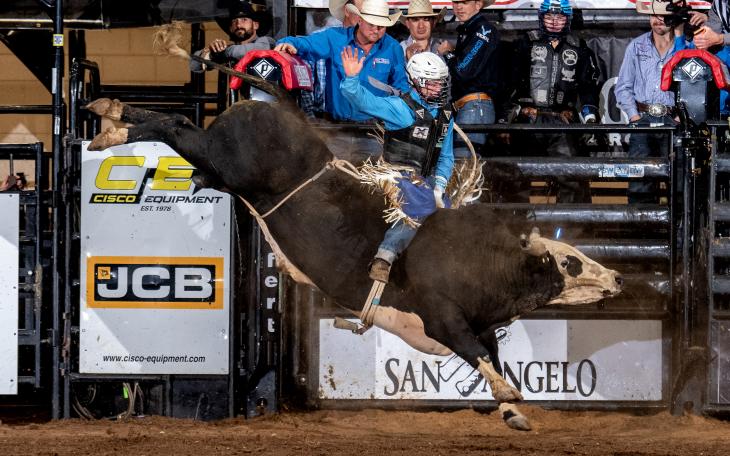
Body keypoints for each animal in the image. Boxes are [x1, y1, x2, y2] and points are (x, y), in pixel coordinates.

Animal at [84, 96, 622, 431]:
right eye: (570, 262)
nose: (616, 277)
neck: (488, 263)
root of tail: (255, 107)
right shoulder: (443, 320)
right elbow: (480, 355)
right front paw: (513, 398)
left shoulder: (479, 326)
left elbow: (490, 357)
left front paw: (511, 411)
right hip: (224, 161)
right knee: (176, 128)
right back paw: (111, 125)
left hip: (218, 170)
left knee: (182, 130)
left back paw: (111, 119)